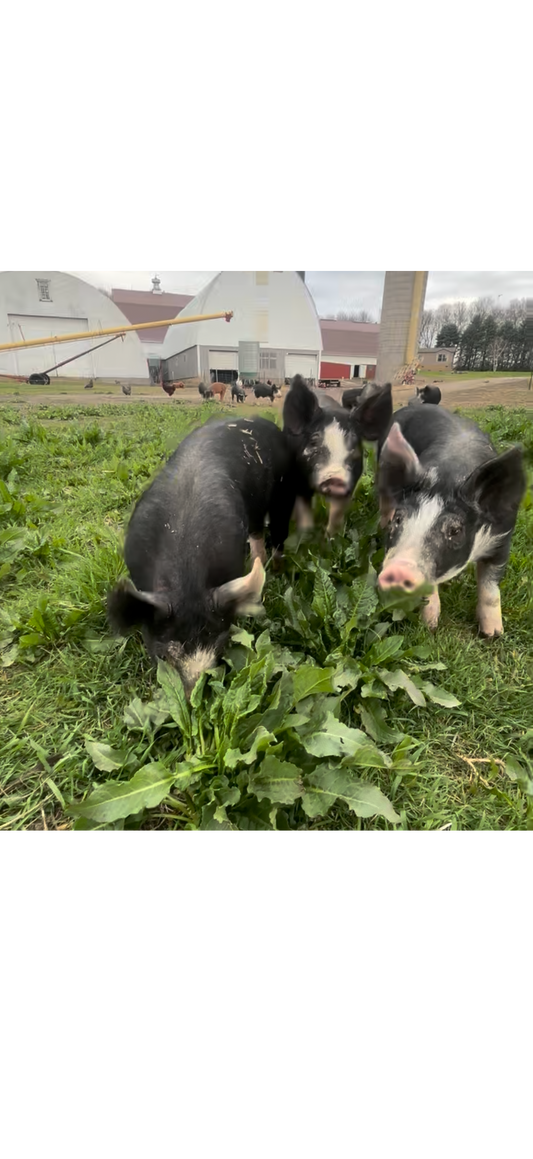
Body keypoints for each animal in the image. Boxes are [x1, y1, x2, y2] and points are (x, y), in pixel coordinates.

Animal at [284, 375, 393, 536]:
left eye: (355, 445)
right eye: (314, 440)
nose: (336, 479)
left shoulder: (350, 484)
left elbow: (336, 514)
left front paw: (331, 537)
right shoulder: (297, 479)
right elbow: (304, 512)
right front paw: (305, 535)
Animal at [378, 407, 526, 637]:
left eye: (455, 530)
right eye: (399, 519)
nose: (399, 570)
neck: (449, 478)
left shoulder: (502, 538)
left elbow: (490, 588)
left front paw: (492, 635)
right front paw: (430, 627)